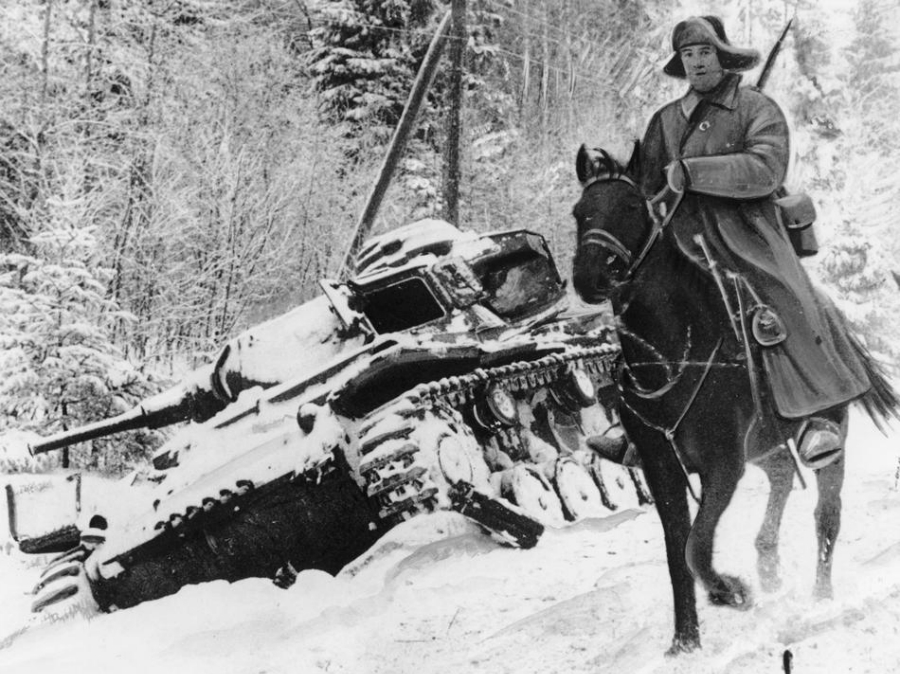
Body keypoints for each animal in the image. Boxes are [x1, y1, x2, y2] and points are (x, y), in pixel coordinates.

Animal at [572, 143, 896, 652]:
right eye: (579, 213)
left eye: (630, 207)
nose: (589, 276)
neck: (675, 355)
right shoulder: (663, 471)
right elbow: (677, 553)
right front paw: (685, 642)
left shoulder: (723, 466)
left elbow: (696, 545)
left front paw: (730, 592)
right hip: (761, 446)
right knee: (781, 475)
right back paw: (768, 564)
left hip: (828, 431)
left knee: (827, 514)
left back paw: (820, 597)